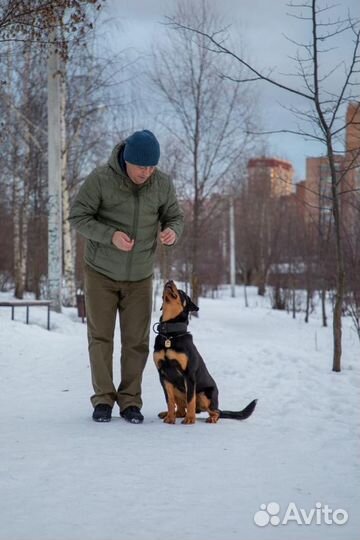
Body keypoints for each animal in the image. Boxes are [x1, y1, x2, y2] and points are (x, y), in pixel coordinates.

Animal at [153, 280, 258, 424]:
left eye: (181, 292)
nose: (169, 281)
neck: (170, 334)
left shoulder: (189, 374)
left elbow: (190, 400)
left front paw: (190, 419)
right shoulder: (163, 375)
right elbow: (169, 400)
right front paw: (170, 418)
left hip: (204, 395)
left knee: (215, 411)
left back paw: (210, 418)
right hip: (177, 388)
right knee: (180, 409)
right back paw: (168, 414)